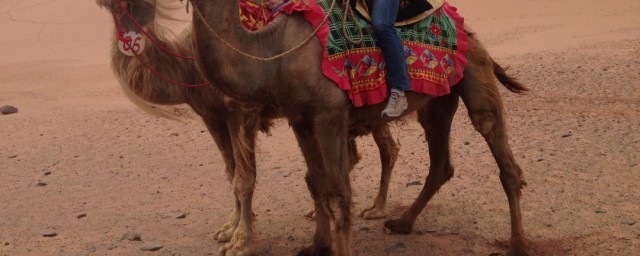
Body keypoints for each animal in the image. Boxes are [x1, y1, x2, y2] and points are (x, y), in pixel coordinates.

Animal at [99, 0, 528, 256]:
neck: (268, 51)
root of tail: (464, 26)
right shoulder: (293, 118)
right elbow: (310, 183)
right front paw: (309, 244)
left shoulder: (319, 114)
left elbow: (327, 194)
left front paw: (241, 241)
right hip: (437, 101)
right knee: (439, 164)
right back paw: (400, 222)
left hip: (474, 75)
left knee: (502, 157)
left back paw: (517, 244)